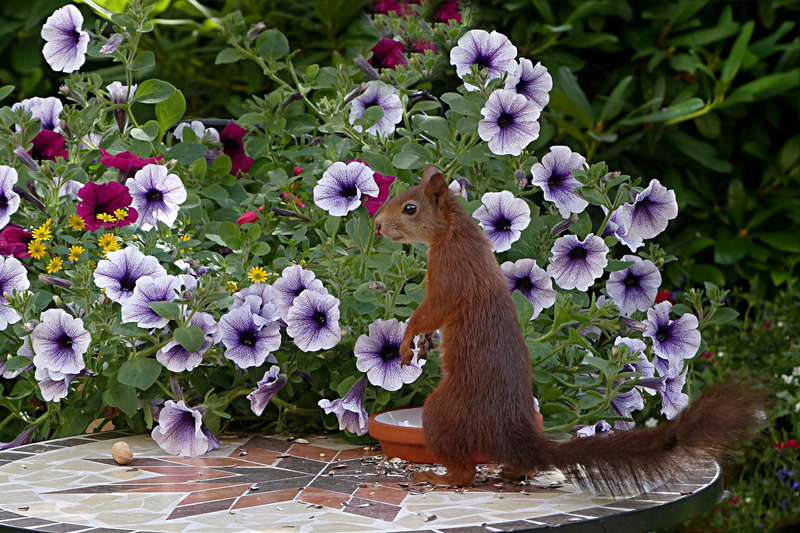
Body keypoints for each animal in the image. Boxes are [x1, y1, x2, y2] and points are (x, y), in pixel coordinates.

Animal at [374, 165, 765, 494]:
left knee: (466, 473)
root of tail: (514, 435)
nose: (377, 225)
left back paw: (438, 477)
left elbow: (431, 311)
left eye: (410, 208)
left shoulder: (452, 275)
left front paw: (409, 338)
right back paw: (511, 470)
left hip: (442, 413)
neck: (453, 233)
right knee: (517, 466)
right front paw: (422, 342)